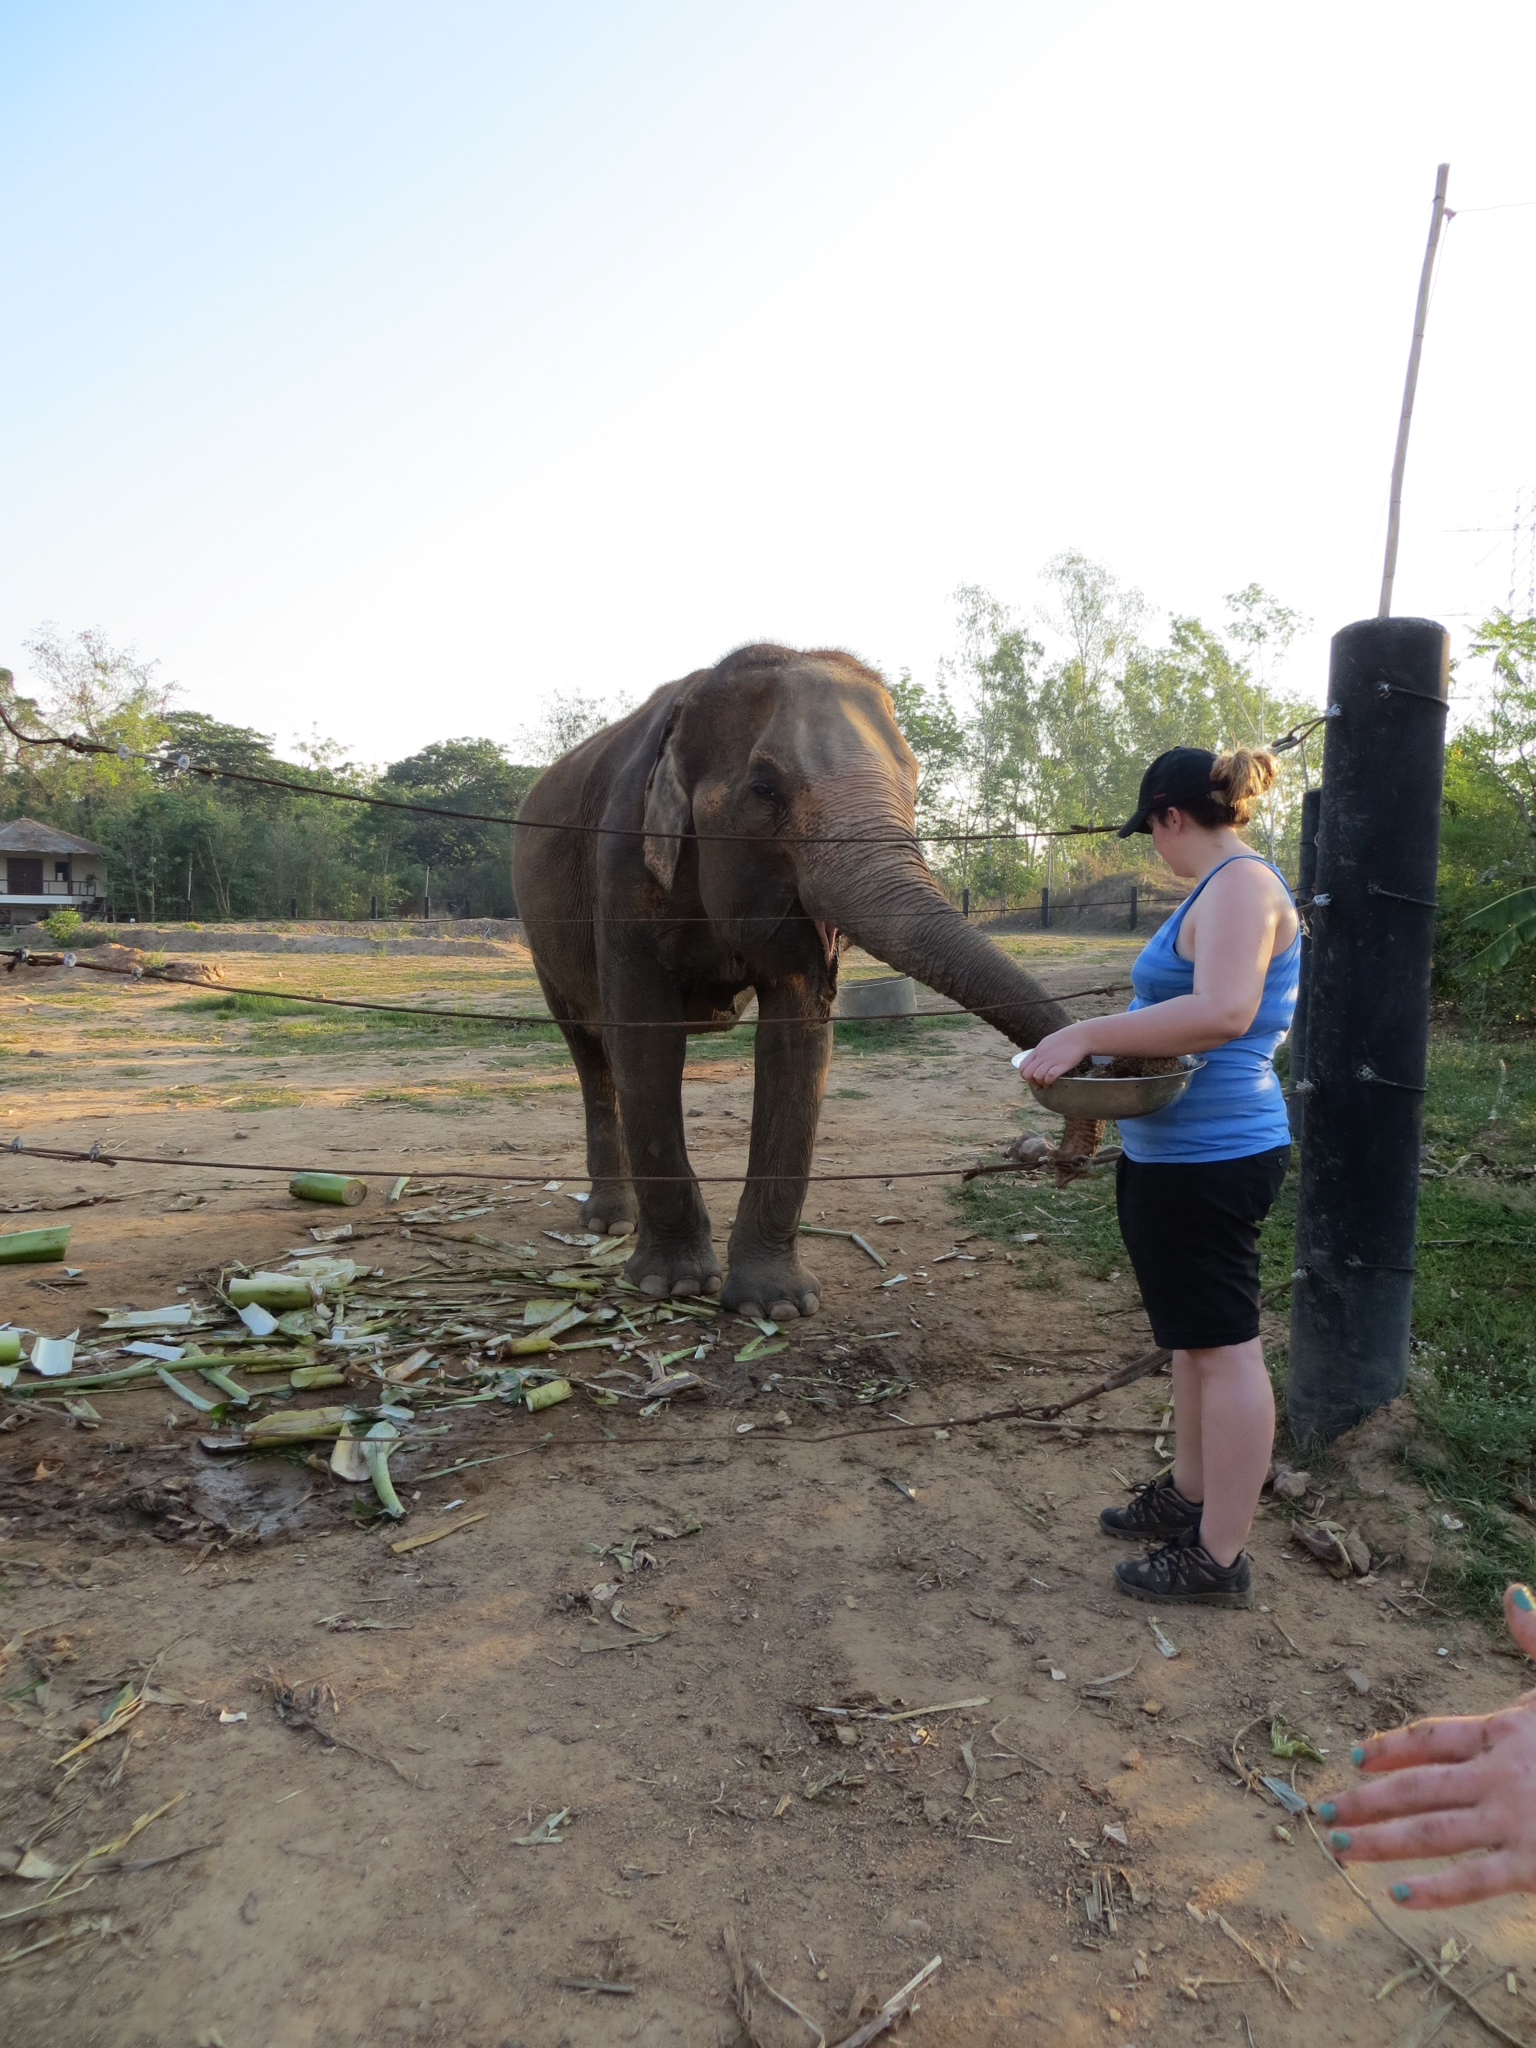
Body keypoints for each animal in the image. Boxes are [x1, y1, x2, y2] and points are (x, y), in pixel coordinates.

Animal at [518, 643, 1097, 1327]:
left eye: (916, 782)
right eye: (764, 790)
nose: (1059, 1157)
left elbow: (797, 1045)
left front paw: (777, 1305)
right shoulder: (624, 870)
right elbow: (646, 1043)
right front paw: (671, 1286)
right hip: (542, 942)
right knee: (590, 1051)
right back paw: (609, 1223)